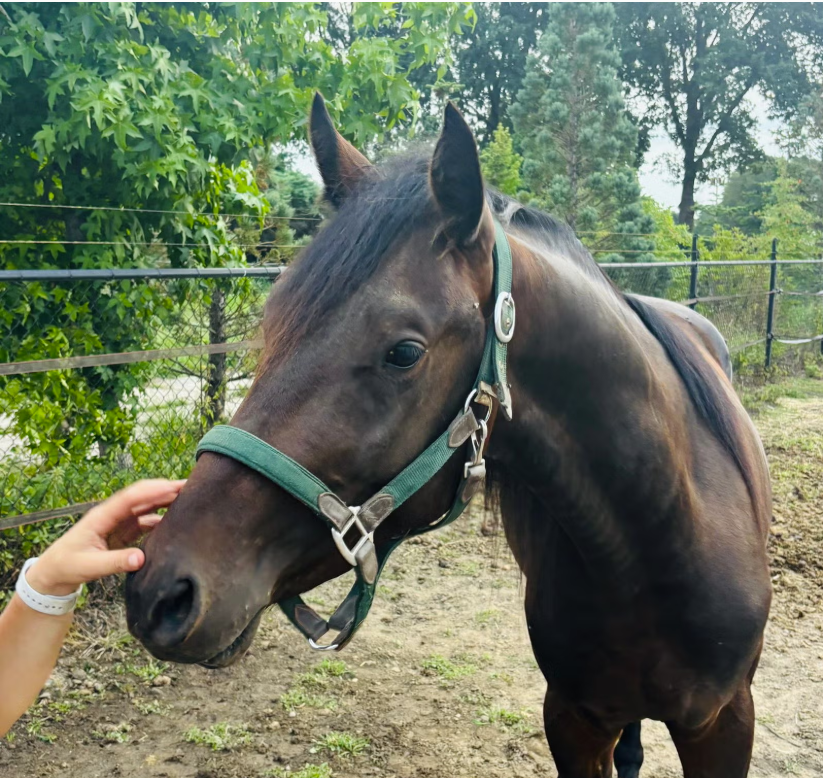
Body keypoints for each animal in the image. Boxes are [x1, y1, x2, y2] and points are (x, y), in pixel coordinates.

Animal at [125, 94, 772, 777]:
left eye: (404, 352)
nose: (161, 592)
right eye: (274, 322)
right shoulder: (574, 718)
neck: (652, 543)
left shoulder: (725, 722)